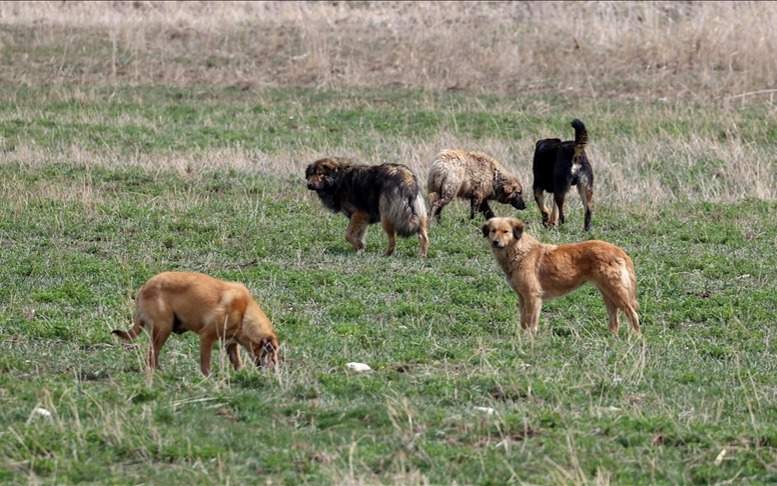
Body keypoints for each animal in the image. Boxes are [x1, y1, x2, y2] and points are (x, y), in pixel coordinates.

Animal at [109, 274, 278, 376]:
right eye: (270, 351)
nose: (275, 371)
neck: (244, 312)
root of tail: (143, 289)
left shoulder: (230, 344)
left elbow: (237, 362)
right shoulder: (206, 337)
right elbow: (205, 363)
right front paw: (208, 378)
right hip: (163, 328)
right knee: (151, 355)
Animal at [482, 217, 640, 334]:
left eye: (506, 231)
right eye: (493, 231)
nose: (495, 242)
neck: (519, 251)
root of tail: (619, 251)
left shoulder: (533, 296)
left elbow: (531, 322)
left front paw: (529, 340)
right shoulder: (522, 297)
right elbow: (523, 321)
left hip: (616, 292)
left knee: (633, 315)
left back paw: (635, 338)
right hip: (608, 294)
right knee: (615, 321)